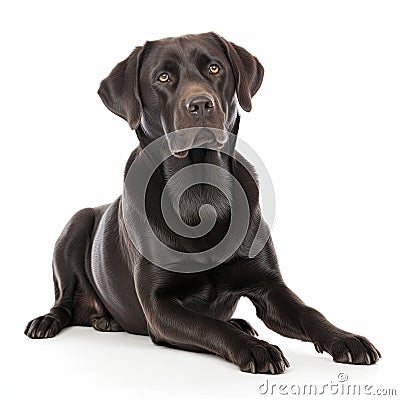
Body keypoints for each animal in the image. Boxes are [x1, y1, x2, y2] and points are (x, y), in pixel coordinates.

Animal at [25, 32, 382, 374]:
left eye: (214, 68)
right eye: (164, 77)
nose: (200, 104)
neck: (200, 194)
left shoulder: (269, 285)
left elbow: (309, 312)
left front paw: (346, 338)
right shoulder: (158, 307)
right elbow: (210, 326)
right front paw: (257, 349)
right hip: (76, 223)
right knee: (63, 301)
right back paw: (51, 321)